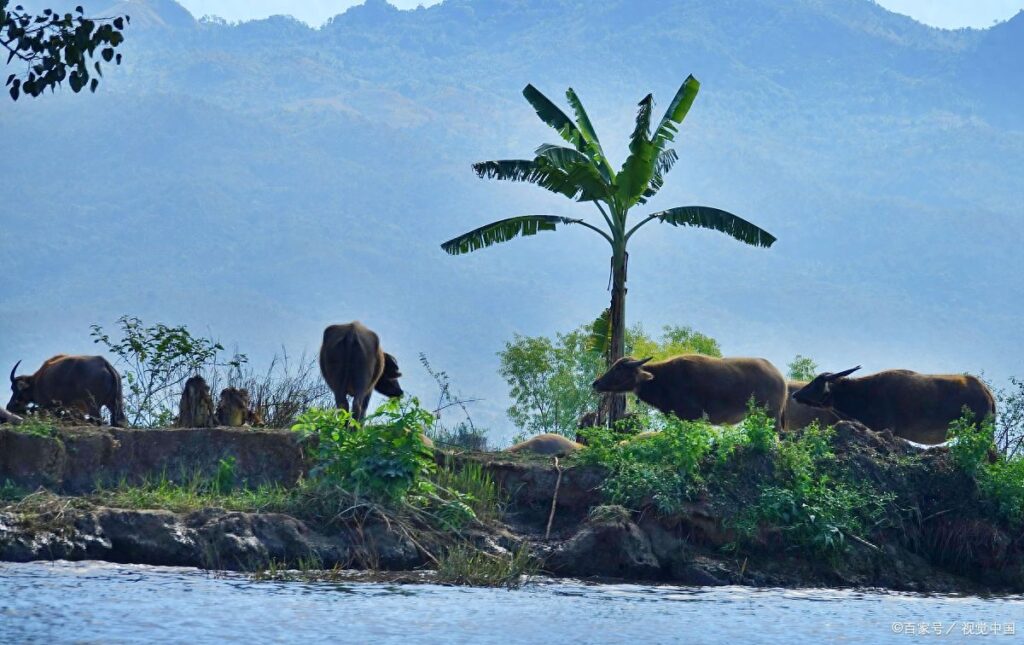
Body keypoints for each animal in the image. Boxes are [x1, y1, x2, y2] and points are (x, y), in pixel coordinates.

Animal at [589, 356, 786, 427]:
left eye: (618, 369)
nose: (596, 383)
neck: (663, 379)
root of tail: (780, 377)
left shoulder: (693, 416)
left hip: (771, 414)